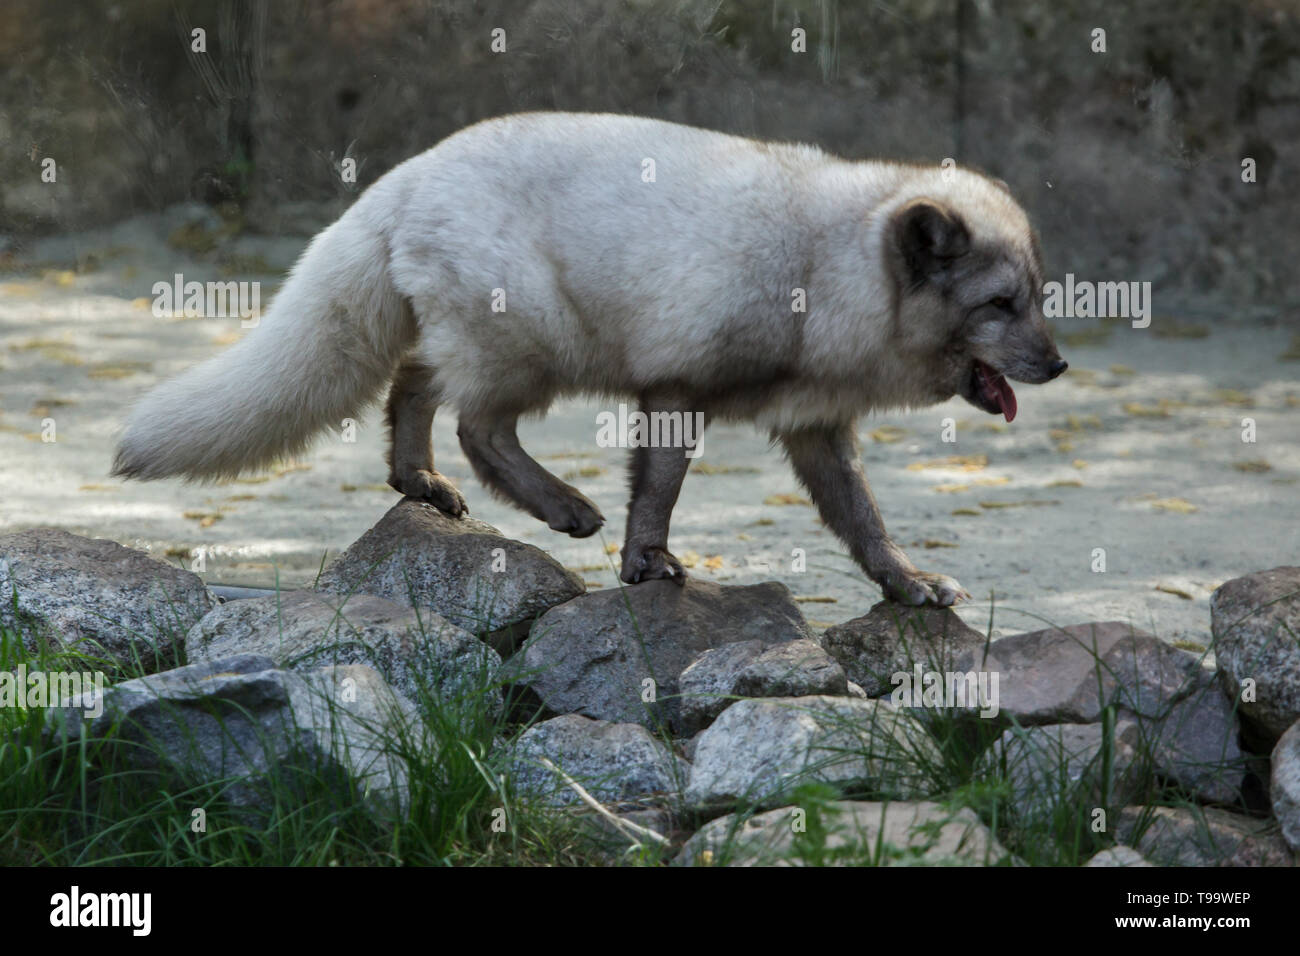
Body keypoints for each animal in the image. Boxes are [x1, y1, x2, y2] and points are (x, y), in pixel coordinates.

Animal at [114, 111, 1066, 606]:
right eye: (1000, 304)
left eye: (1041, 295)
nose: (1056, 367)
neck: (820, 269)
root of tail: (405, 175)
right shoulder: (678, 385)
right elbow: (661, 485)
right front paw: (645, 565)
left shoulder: (816, 427)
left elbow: (862, 518)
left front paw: (905, 584)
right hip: (537, 346)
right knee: (476, 426)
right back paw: (562, 508)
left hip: (486, 341)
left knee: (413, 383)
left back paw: (418, 483)